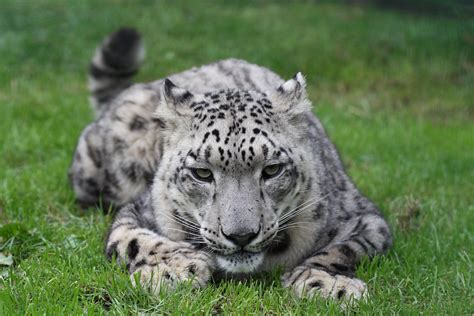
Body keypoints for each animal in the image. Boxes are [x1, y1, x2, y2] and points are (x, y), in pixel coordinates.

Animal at [67, 28, 392, 300]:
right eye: (202, 173)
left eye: (272, 169)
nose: (241, 236)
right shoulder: (139, 212)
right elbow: (133, 239)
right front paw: (175, 269)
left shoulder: (365, 219)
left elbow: (342, 250)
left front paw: (328, 283)